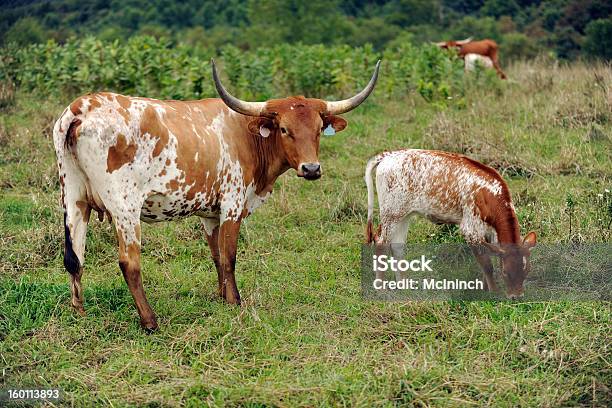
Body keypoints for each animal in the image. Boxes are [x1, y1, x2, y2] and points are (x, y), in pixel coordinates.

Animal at [366, 148, 536, 298]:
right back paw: (381, 288)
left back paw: (403, 285)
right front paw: (494, 292)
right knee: (381, 243)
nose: (516, 296)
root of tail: (389, 155)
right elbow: (487, 264)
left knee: (397, 247)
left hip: (403, 216)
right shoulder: (470, 230)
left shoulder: (488, 234)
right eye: (505, 272)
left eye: (527, 270)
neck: (488, 195)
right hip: (391, 213)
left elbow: (486, 260)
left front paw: (485, 288)